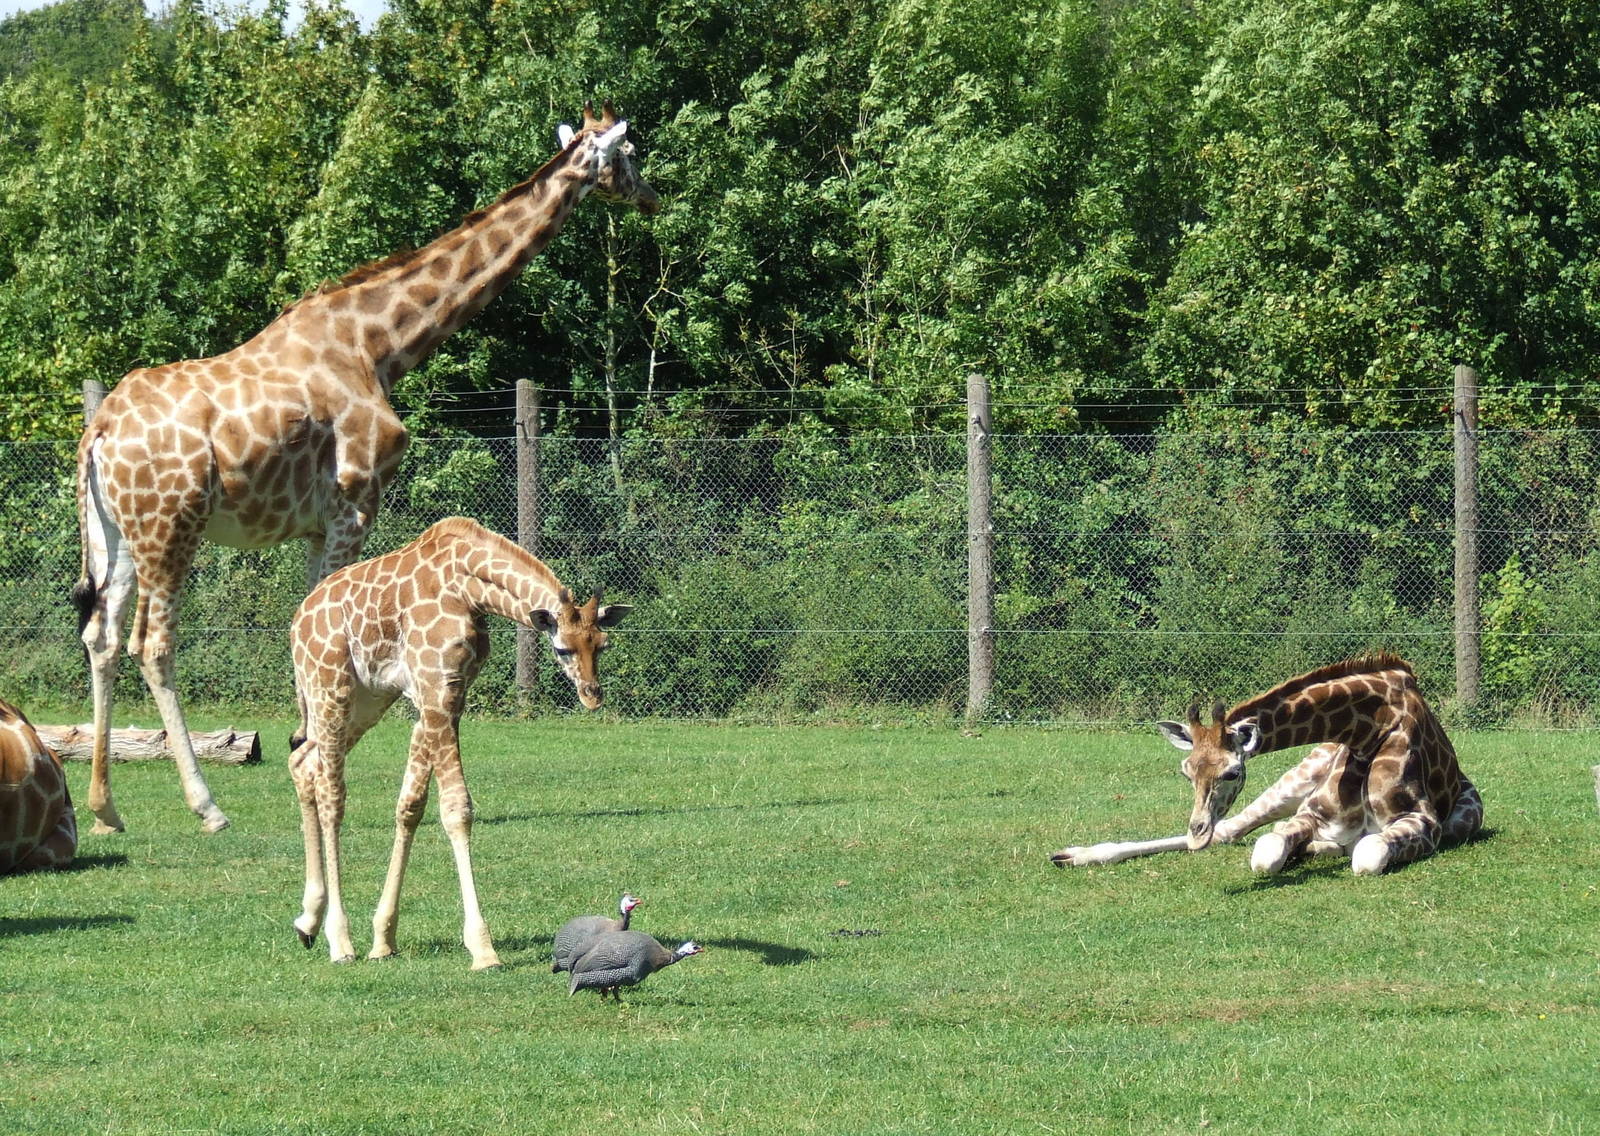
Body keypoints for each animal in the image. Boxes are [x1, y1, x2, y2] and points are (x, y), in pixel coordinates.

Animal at [73, 100, 657, 835]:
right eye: (630, 153)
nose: (653, 196)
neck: (380, 345)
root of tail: (99, 431)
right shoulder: (353, 503)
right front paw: (310, 746)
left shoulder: (314, 525)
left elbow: (308, 614)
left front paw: (307, 741)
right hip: (170, 527)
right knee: (151, 643)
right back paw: (206, 806)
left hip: (115, 534)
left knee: (100, 635)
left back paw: (104, 807)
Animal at [287, 517, 629, 970]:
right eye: (562, 648)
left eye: (602, 646)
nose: (592, 695)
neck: (470, 589)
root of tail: (297, 621)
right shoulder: (435, 689)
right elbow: (456, 810)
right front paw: (482, 947)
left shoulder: (446, 695)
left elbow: (410, 806)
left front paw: (383, 938)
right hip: (330, 686)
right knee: (331, 791)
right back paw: (338, 939)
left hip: (368, 698)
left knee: (303, 763)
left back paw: (308, 921)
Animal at [1050, 654, 1483, 876]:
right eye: (1186, 771)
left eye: (1232, 772)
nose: (1196, 833)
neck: (1367, 730)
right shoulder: (1309, 813)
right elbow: (1266, 853)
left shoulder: (1423, 822)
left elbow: (1367, 856)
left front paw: (1322, 850)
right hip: (1292, 780)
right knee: (1231, 831)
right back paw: (1075, 854)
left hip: (1464, 819)